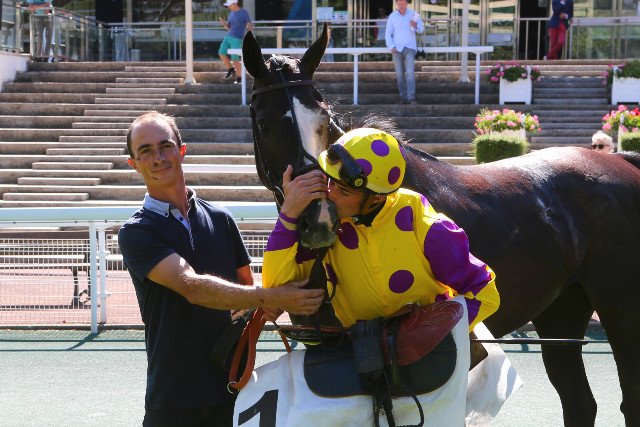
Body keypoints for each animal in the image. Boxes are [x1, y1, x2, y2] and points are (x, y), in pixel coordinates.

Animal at [242, 25, 640, 426]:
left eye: (323, 120)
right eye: (263, 123)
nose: (319, 219)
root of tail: (623, 161)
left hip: (622, 311)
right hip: (561, 308)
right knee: (579, 402)